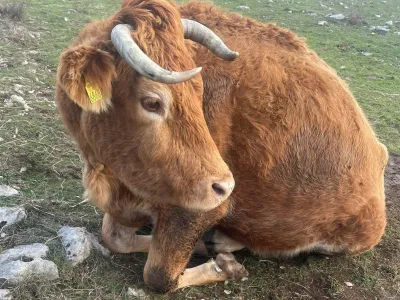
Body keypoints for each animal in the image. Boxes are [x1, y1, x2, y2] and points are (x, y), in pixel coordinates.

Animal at [54, 0, 390, 294]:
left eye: (199, 93)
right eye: (152, 102)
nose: (225, 186)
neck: (113, 177)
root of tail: (379, 152)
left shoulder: (197, 208)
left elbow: (159, 275)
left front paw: (223, 265)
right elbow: (114, 238)